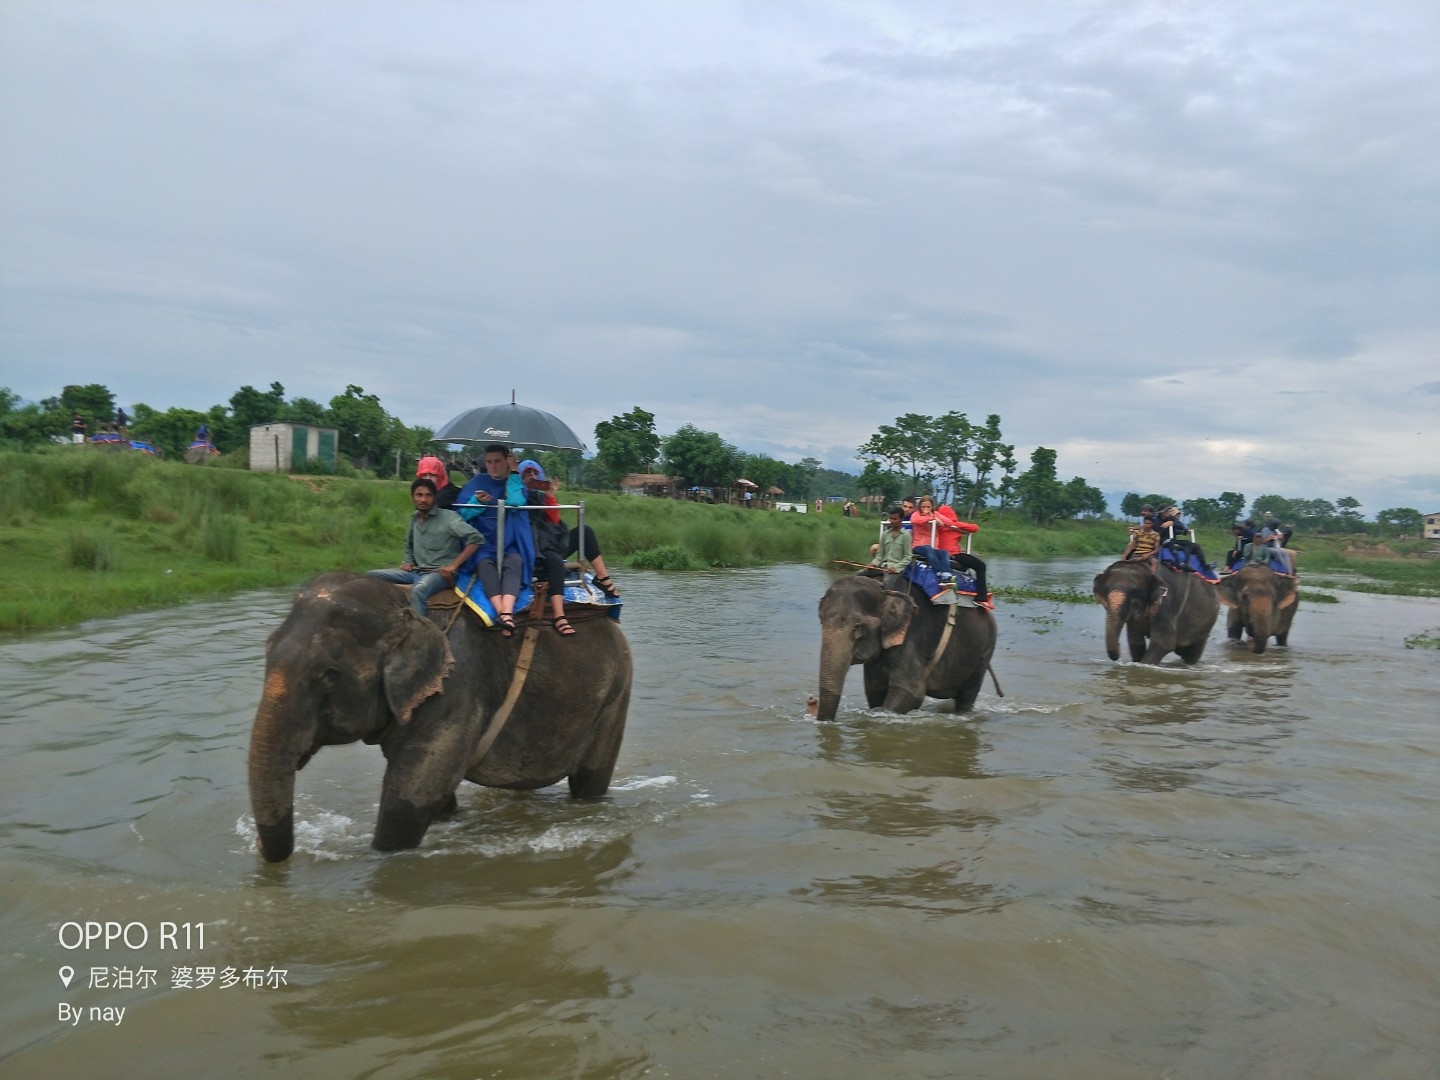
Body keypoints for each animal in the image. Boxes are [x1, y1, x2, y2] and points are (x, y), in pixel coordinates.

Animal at [247, 576, 630, 864]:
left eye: (328, 674)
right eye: (266, 651)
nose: (266, 852)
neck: (404, 607)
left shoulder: (457, 687)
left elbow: (408, 800)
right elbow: (435, 793)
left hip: (616, 692)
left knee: (590, 779)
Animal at [817, 570, 996, 722]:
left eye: (858, 627)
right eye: (821, 620)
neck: (884, 588)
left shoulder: (910, 635)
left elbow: (911, 691)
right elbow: (874, 690)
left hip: (986, 649)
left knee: (967, 695)